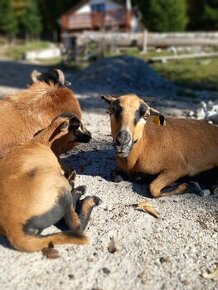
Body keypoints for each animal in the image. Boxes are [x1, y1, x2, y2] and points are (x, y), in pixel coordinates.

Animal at [0, 112, 101, 253]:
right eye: (78, 126)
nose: (90, 135)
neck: (43, 141)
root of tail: (13, 228)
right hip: (58, 185)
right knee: (76, 225)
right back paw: (84, 195)